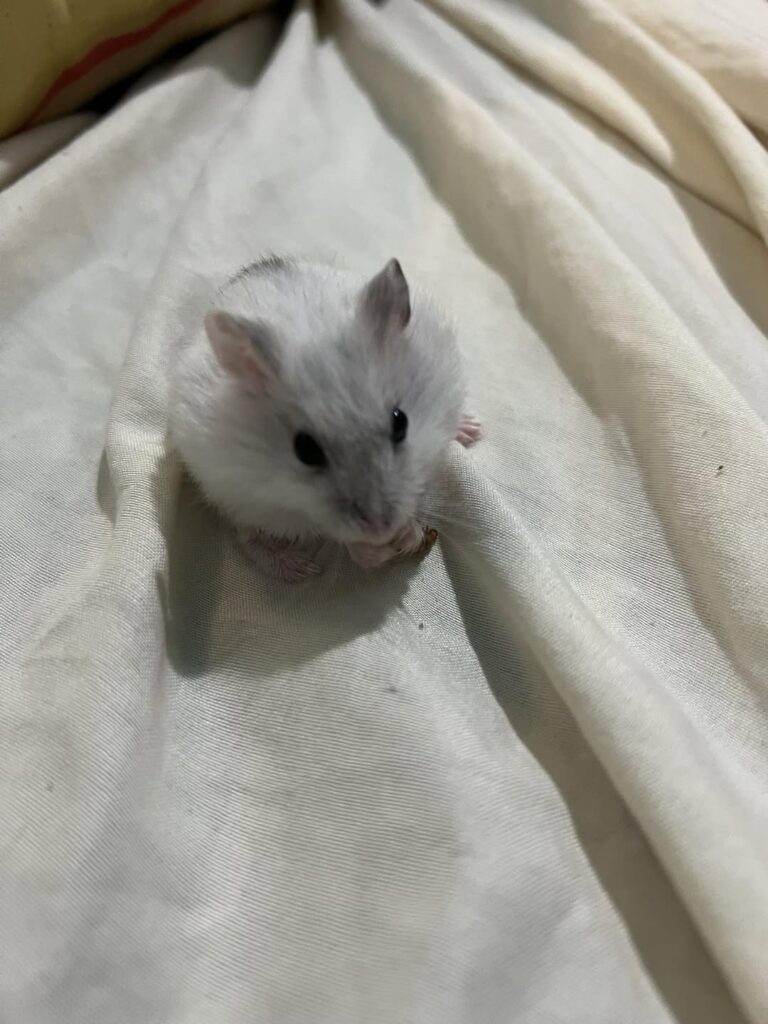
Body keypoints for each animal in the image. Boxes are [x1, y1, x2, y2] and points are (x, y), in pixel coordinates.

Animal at [169, 256, 481, 581]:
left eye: (401, 422)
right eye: (305, 450)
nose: (383, 531)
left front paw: (408, 535)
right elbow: (345, 543)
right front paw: (387, 547)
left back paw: (470, 428)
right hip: (234, 499)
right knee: (247, 538)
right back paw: (299, 568)